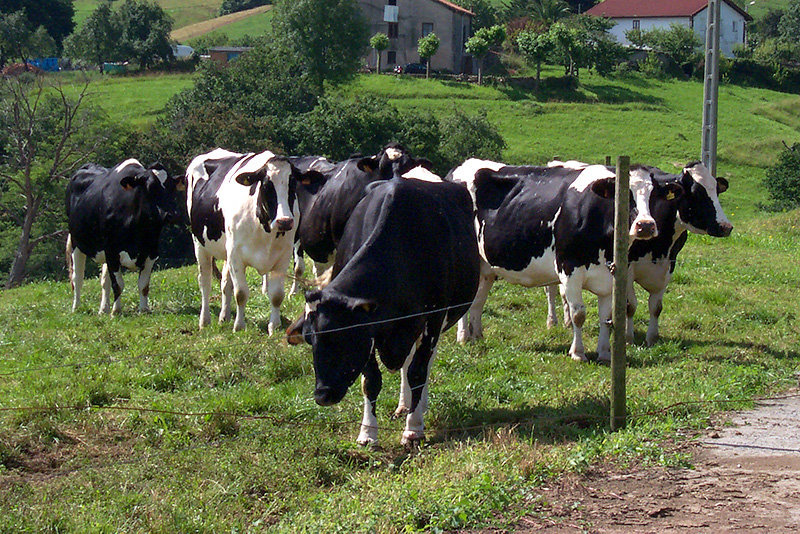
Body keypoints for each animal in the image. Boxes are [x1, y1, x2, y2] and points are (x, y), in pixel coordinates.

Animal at [66, 160, 184, 318]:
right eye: (150, 187)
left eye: (172, 188)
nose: (173, 215)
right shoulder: (112, 252)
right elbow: (118, 284)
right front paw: (116, 311)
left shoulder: (151, 252)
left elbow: (143, 285)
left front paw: (144, 309)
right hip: (76, 243)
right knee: (77, 278)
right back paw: (76, 307)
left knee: (104, 281)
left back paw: (103, 309)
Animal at [186, 147, 314, 330]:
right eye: (266, 185)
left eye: (293, 184)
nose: (284, 221)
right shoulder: (236, 255)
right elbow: (241, 293)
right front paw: (239, 326)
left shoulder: (283, 256)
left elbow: (277, 295)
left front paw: (274, 326)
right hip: (199, 244)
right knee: (205, 282)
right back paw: (205, 321)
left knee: (225, 283)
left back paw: (224, 316)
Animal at [288, 178, 478, 450]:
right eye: (309, 339)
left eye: (346, 337)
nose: (322, 395)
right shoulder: (371, 331)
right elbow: (371, 381)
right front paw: (368, 433)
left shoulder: (432, 320)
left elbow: (418, 372)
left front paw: (413, 430)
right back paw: (404, 405)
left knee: (423, 365)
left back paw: (418, 407)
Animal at [446, 157, 680, 362]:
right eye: (623, 195)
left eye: (654, 195)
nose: (646, 225)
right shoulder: (570, 269)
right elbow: (578, 314)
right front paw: (578, 353)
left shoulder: (609, 276)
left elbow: (607, 318)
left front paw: (604, 353)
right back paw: (463, 336)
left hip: (486, 267)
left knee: (478, 300)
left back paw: (477, 336)